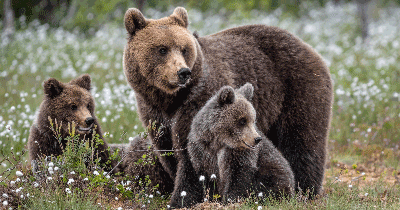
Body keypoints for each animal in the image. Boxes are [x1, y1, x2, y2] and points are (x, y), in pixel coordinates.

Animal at [123, 6, 332, 208]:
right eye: (162, 49)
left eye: (184, 49)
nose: (183, 72)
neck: (170, 99)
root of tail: (306, 46)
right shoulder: (153, 112)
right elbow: (168, 151)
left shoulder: (199, 101)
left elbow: (191, 155)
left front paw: (183, 198)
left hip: (298, 88)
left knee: (302, 140)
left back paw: (305, 189)